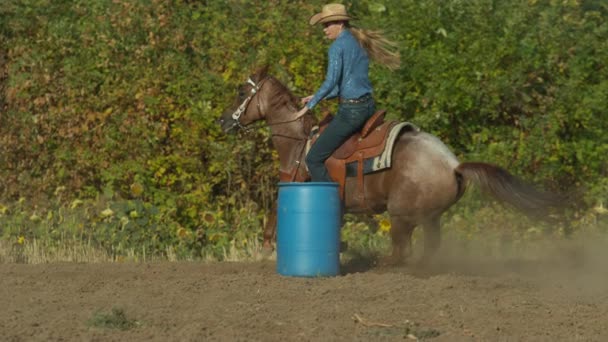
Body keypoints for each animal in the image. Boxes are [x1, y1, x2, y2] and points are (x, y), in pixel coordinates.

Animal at [216, 67, 564, 264]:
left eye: (241, 90)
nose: (224, 120)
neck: (300, 143)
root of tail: (453, 165)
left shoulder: (301, 184)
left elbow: (274, 214)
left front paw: (266, 248)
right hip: (429, 219)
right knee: (428, 250)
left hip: (401, 217)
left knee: (401, 253)